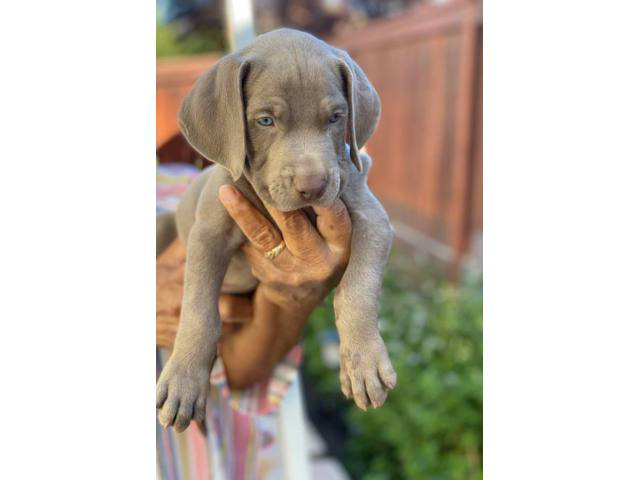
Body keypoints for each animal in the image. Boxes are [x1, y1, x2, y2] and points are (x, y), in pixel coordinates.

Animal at [156, 28, 396, 432]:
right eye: (265, 121)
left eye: (336, 117)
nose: (312, 186)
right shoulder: (207, 234)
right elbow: (199, 310)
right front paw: (184, 379)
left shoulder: (372, 218)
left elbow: (357, 290)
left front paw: (363, 361)